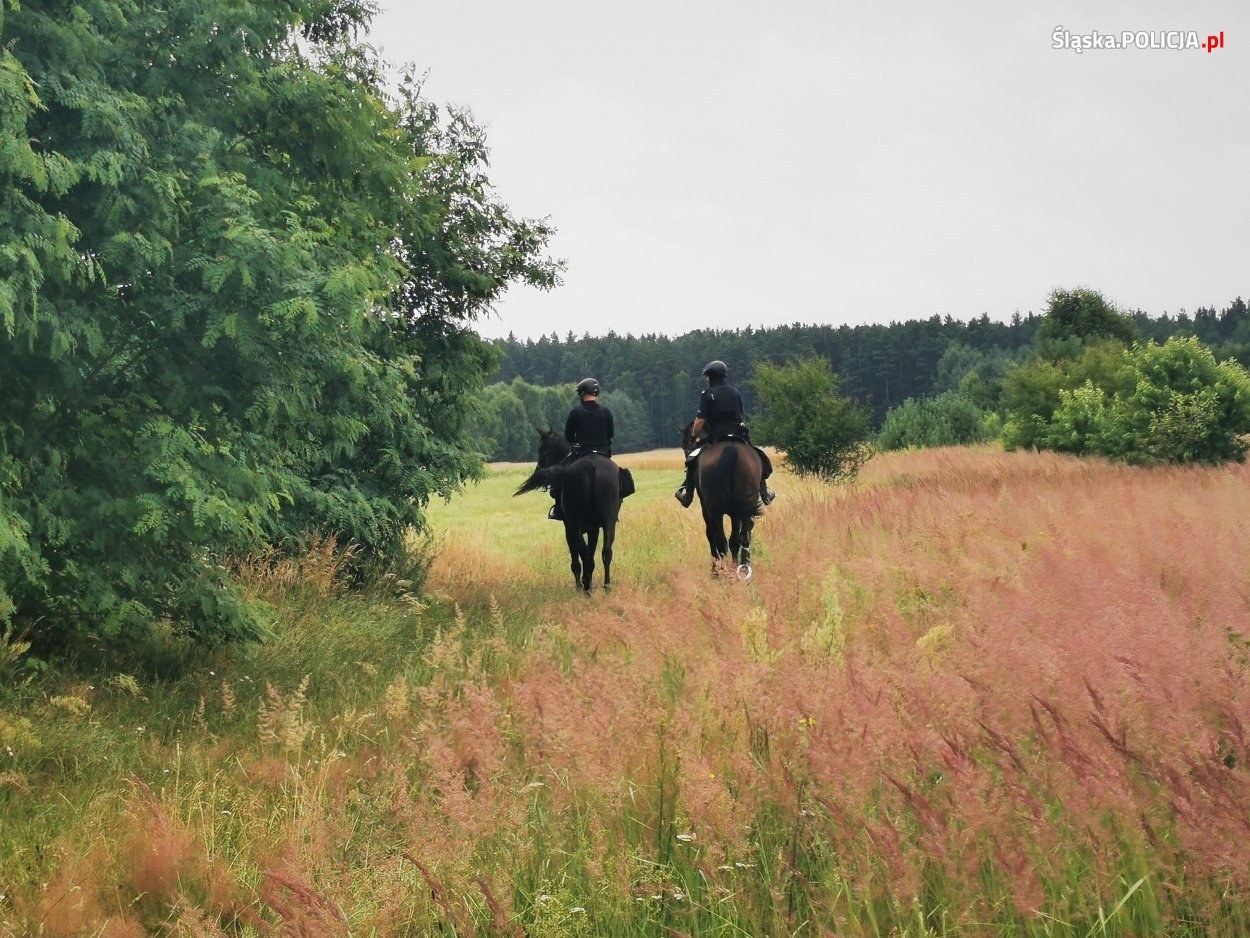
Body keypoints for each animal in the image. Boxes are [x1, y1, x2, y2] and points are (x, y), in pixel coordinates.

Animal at [512, 430, 620, 590]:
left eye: (542, 450)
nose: (539, 469)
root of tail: (592, 467)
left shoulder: (568, 526)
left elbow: (576, 558)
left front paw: (581, 584)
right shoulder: (593, 528)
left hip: (574, 525)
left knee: (584, 552)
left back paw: (585, 587)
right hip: (609, 522)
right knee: (606, 551)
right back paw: (605, 586)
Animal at [685, 420, 760, 580]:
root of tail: (731, 451)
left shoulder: (706, 508)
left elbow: (710, 535)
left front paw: (715, 569)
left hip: (716, 510)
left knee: (722, 541)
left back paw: (725, 572)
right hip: (743, 508)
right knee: (741, 538)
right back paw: (742, 569)